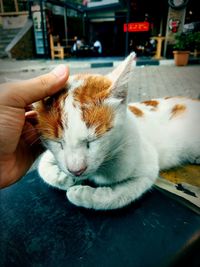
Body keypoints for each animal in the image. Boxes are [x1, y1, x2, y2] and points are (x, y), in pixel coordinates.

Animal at [34, 53, 200, 210]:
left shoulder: (146, 167)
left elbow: (117, 196)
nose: (76, 171)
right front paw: (63, 178)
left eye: (92, 141)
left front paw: (84, 194)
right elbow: (42, 167)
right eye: (59, 143)